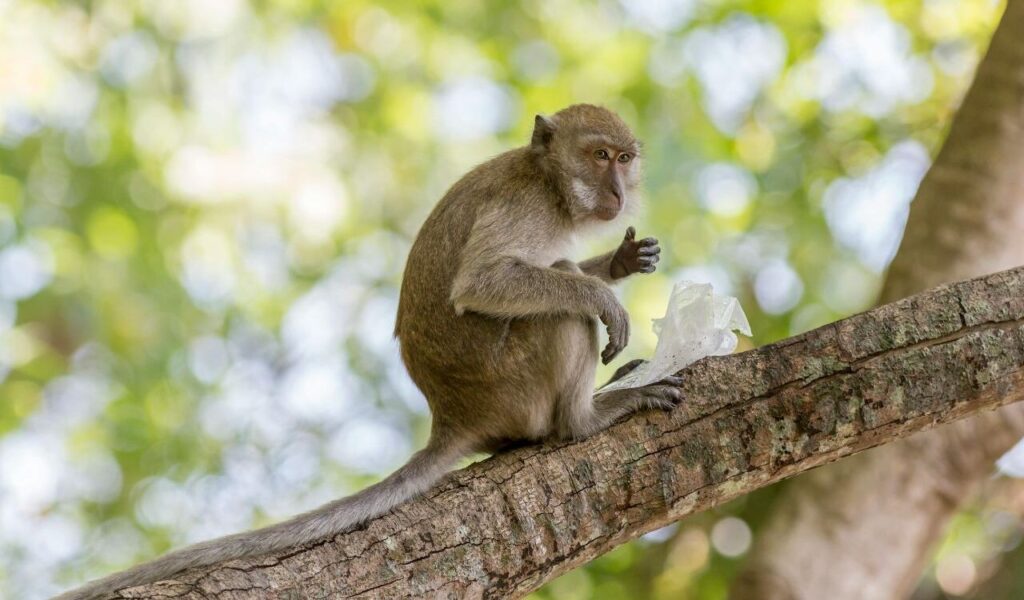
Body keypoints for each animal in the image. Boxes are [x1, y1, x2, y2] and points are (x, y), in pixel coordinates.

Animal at [57, 104, 681, 600]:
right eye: (599, 155)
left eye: (625, 158)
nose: (619, 191)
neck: (549, 184)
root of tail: (453, 415)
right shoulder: (524, 208)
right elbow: (485, 284)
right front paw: (604, 295)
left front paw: (621, 263)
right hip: (513, 381)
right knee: (562, 303)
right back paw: (585, 419)